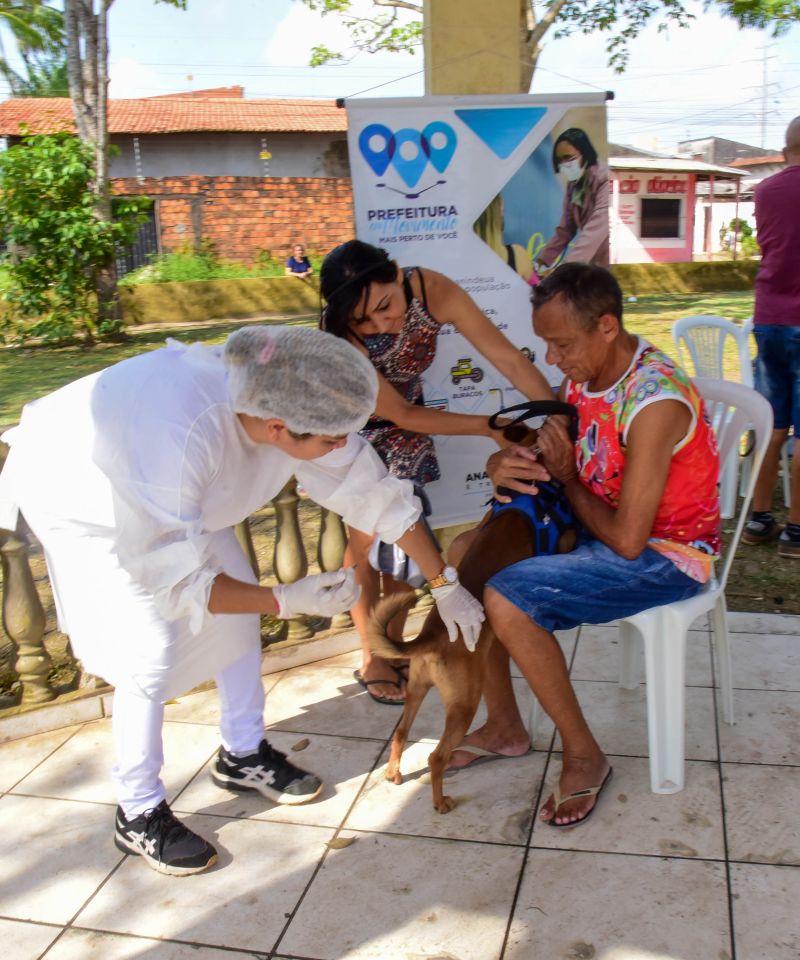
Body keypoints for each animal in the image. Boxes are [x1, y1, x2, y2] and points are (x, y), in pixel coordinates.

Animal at [366, 424, 580, 812]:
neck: (529, 492)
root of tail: (431, 637)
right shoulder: (563, 542)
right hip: (464, 700)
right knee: (436, 756)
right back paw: (440, 802)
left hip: (418, 688)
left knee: (402, 732)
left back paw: (392, 772)